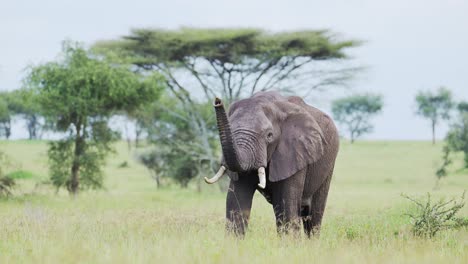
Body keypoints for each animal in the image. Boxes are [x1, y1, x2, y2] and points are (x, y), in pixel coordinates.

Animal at [205, 91, 340, 237]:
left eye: (269, 135)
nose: (217, 101)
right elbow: (236, 202)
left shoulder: (294, 153)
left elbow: (286, 206)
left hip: (328, 163)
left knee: (313, 216)